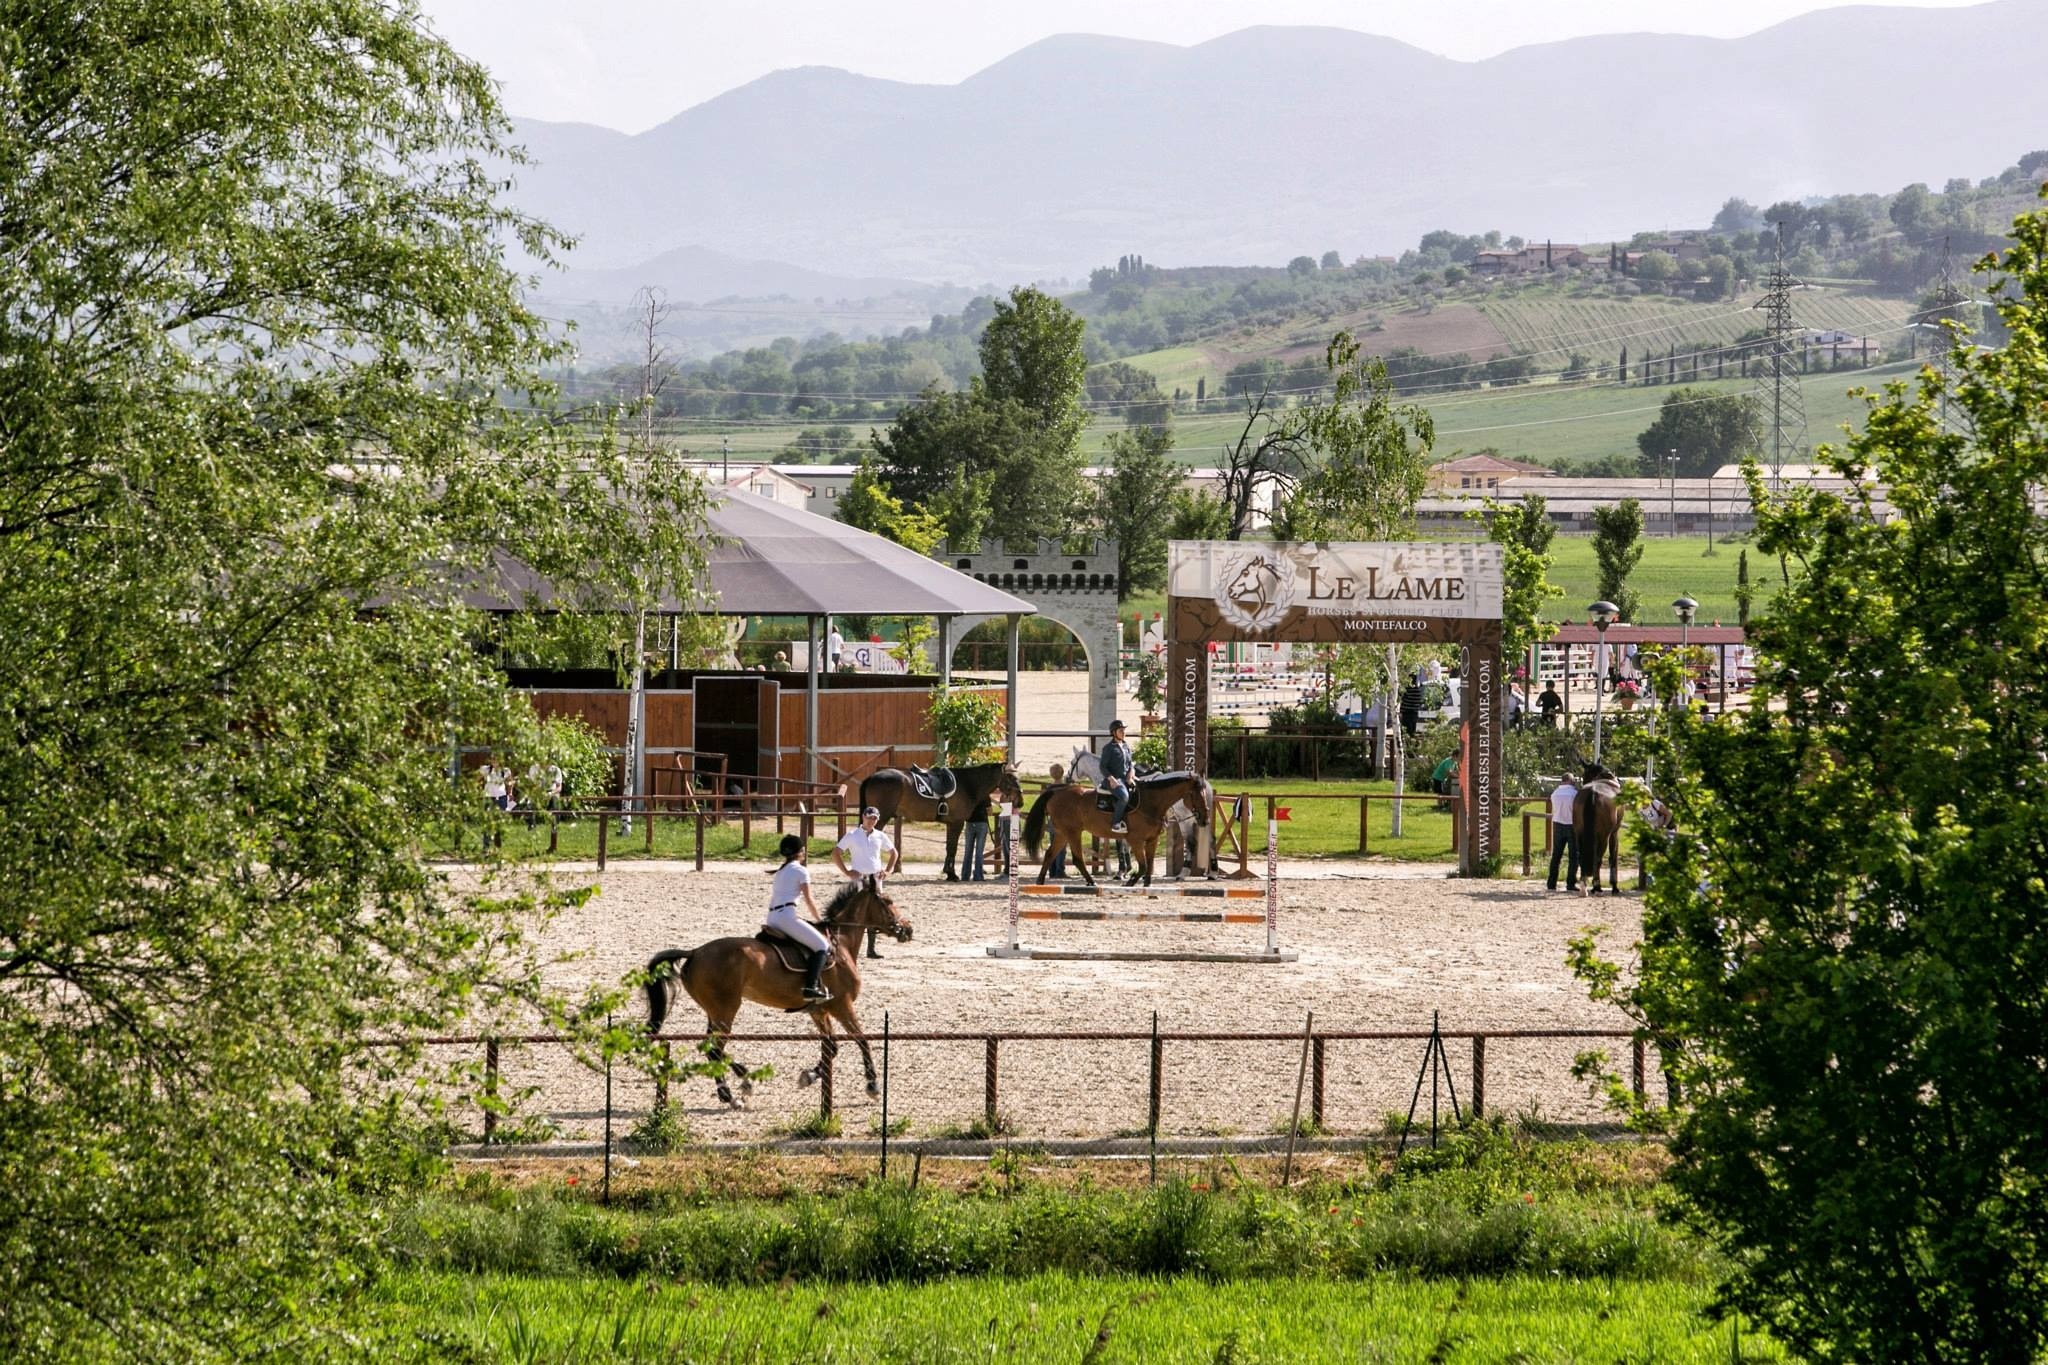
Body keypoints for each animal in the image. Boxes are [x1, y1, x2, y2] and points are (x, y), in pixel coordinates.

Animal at [638, 875, 913, 1113]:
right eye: (888, 901)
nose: (908, 930)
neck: (842, 943)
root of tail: (694, 952)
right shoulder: (841, 1006)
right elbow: (862, 1040)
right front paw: (872, 1086)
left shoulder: (819, 1010)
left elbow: (832, 1048)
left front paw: (808, 1076)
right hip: (726, 1009)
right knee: (714, 1049)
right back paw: (735, 1091)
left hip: (714, 1011)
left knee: (710, 1047)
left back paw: (738, 1084)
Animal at [860, 765, 1024, 879]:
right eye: (1011, 778)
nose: (1021, 802)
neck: (968, 784)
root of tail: (872, 777)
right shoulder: (957, 823)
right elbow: (953, 848)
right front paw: (952, 875)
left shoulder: (951, 824)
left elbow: (949, 848)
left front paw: (948, 872)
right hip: (879, 818)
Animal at [1019, 769, 1204, 888]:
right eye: (1196, 794)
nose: (1204, 818)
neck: (1150, 802)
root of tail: (1056, 792)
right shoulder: (1135, 840)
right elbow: (1143, 865)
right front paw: (1130, 881)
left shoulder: (1152, 839)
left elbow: (1149, 864)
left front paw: (1147, 884)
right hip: (1072, 832)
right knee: (1077, 859)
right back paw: (1091, 881)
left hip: (1062, 833)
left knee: (1050, 854)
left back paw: (1040, 881)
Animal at [1572, 757, 1622, 896]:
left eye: (1584, 775)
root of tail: (1593, 792)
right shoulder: (1614, 833)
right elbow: (1612, 857)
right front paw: (1614, 887)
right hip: (1604, 836)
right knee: (1598, 859)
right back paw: (1596, 886)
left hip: (1580, 834)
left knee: (1582, 857)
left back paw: (1584, 887)